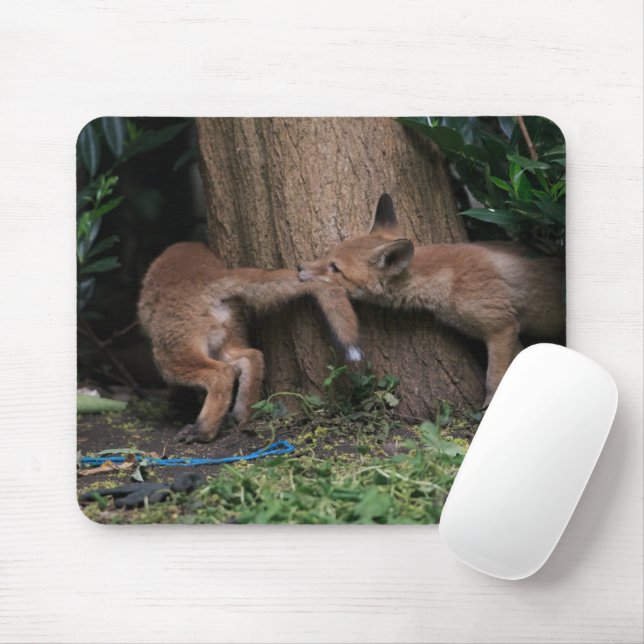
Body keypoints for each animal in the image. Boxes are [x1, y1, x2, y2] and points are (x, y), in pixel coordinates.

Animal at [138, 242, 362, 443]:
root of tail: (214, 276)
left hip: (169, 358)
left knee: (222, 374)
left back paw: (203, 431)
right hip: (224, 344)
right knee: (252, 357)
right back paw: (244, 414)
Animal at [297, 193, 565, 407]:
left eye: (335, 268)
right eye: (328, 255)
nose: (299, 267)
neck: (450, 279)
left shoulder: (502, 327)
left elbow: (494, 380)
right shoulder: (509, 334)